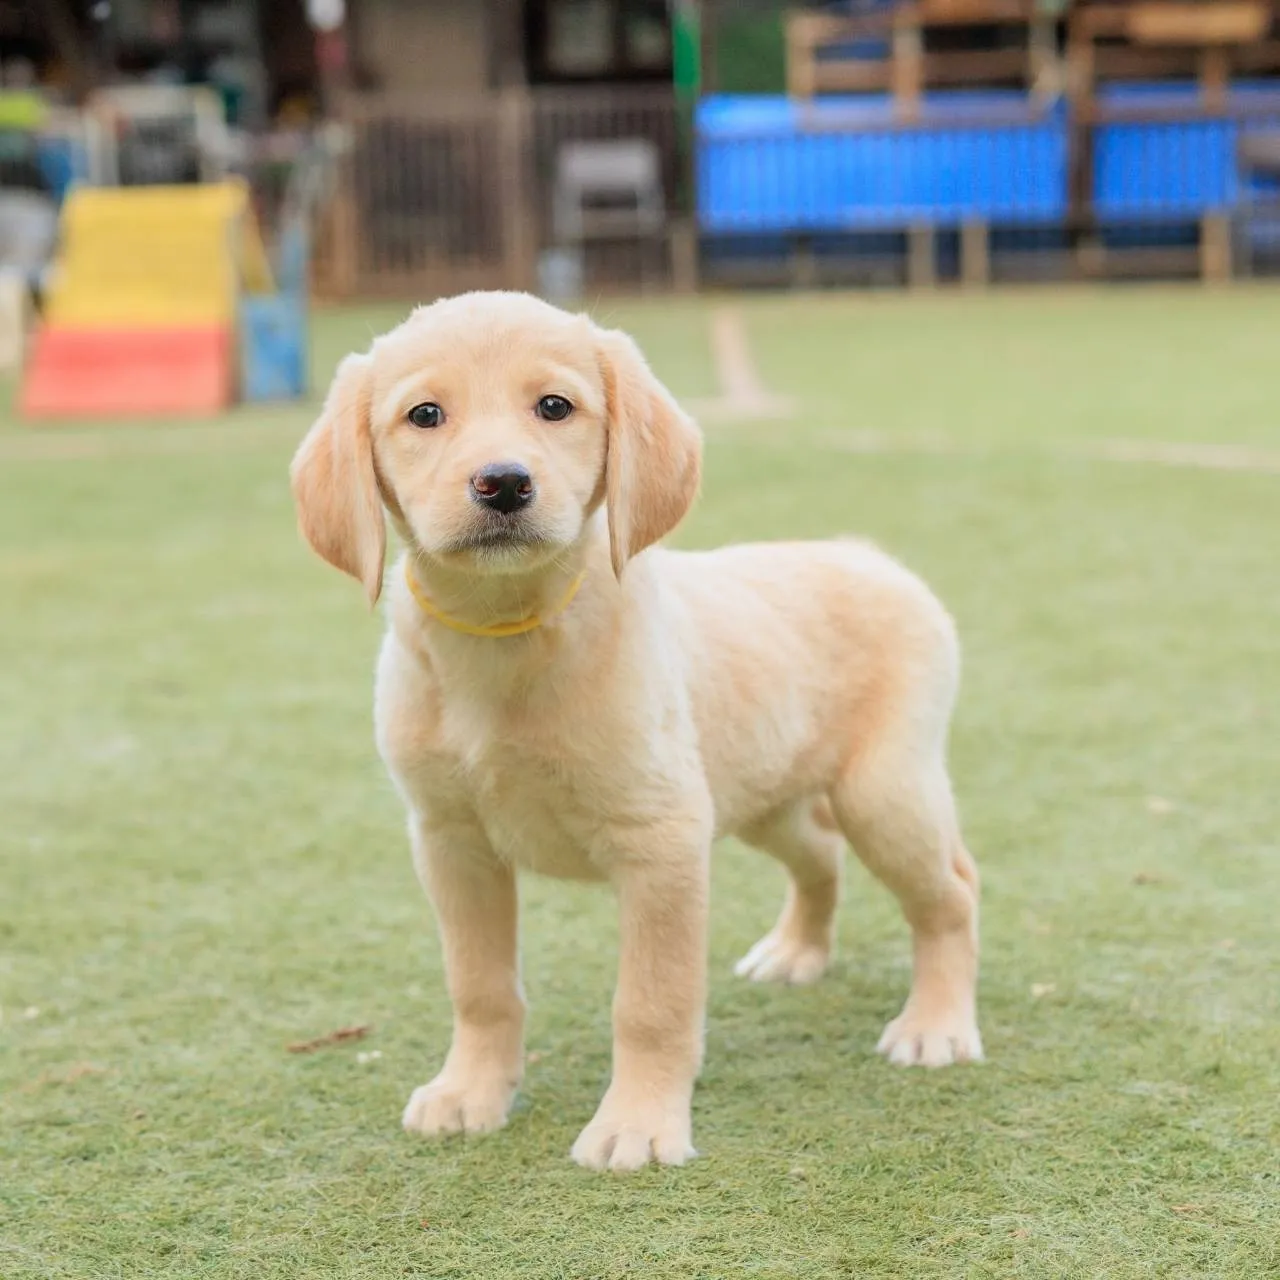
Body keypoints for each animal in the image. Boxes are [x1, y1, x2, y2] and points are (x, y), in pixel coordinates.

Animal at [290, 290, 977, 1172]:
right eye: (425, 415)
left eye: (555, 407)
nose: (503, 483)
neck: (506, 637)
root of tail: (866, 555)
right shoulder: (451, 840)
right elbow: (480, 986)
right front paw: (471, 1091)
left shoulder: (662, 840)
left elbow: (651, 1002)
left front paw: (640, 1123)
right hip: (760, 797)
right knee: (820, 854)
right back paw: (797, 952)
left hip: (881, 792)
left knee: (951, 893)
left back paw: (936, 1025)